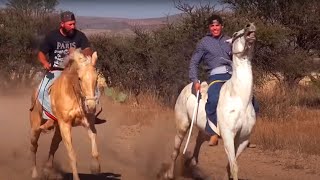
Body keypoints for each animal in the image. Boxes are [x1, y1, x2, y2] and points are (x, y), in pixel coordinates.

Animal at [29, 48, 100, 180]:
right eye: (79, 78)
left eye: (96, 79)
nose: (91, 106)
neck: (72, 93)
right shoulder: (65, 125)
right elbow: (72, 155)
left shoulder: (88, 123)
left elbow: (94, 145)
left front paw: (95, 167)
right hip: (35, 126)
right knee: (34, 146)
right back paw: (35, 174)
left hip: (57, 129)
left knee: (53, 145)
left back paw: (47, 170)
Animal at [165, 22, 258, 180]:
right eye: (235, 35)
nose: (249, 26)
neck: (240, 99)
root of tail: (186, 88)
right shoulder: (228, 135)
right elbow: (234, 166)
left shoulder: (243, 139)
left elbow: (230, 165)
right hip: (183, 126)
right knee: (175, 151)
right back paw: (170, 174)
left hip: (203, 128)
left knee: (198, 141)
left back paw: (191, 162)